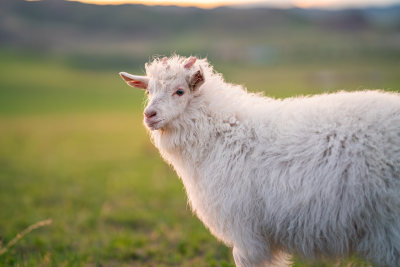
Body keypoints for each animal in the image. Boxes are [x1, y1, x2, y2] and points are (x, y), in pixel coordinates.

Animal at [119, 55, 400, 266]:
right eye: (149, 91)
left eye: (180, 91)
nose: (149, 115)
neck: (221, 132)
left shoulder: (247, 233)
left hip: (388, 228)